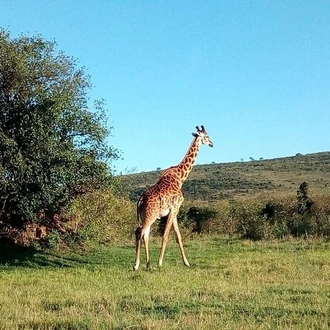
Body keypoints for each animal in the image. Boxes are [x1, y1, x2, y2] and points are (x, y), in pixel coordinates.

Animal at [134, 125, 214, 270]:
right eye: (206, 136)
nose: (212, 144)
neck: (180, 177)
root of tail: (140, 200)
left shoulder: (175, 211)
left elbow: (178, 236)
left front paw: (186, 262)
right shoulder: (174, 208)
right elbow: (166, 235)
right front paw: (160, 262)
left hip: (145, 216)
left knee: (144, 234)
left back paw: (148, 265)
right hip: (151, 215)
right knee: (140, 232)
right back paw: (136, 265)